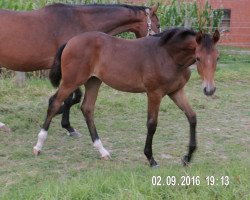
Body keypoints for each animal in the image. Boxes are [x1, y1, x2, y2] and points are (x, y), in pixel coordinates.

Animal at [0, 3, 160, 135]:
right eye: (157, 24)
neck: (79, 21)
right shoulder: (72, 73)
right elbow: (72, 98)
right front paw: (66, 124)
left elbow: (73, 98)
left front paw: (61, 118)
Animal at [34, 27, 219, 166]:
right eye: (198, 58)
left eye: (218, 57)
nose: (209, 90)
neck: (168, 55)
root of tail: (70, 42)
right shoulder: (154, 93)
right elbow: (152, 124)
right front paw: (151, 158)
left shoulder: (176, 92)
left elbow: (192, 117)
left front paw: (188, 157)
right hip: (71, 81)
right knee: (54, 103)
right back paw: (38, 145)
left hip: (93, 81)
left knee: (87, 109)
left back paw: (103, 151)